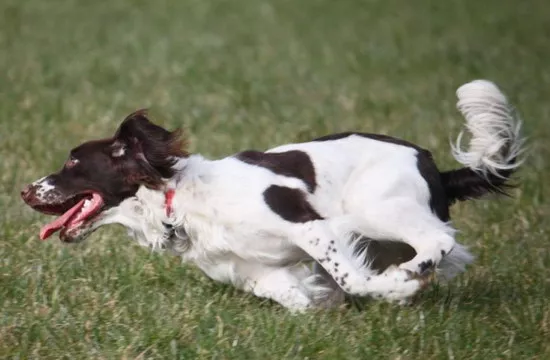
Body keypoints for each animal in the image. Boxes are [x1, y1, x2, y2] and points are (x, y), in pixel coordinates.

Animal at [20, 80, 528, 310]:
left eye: (72, 163)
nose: (25, 191)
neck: (179, 201)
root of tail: (435, 167)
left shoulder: (313, 229)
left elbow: (351, 279)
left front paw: (395, 287)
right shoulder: (259, 273)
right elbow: (302, 298)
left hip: (373, 209)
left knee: (438, 242)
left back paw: (408, 276)